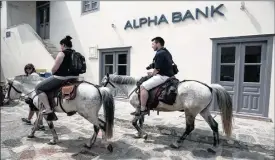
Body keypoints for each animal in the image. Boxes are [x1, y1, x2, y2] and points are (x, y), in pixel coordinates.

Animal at [101, 74, 233, 149]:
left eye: (103, 81)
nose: (99, 87)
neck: (134, 86)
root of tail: (209, 87)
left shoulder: (139, 108)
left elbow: (134, 122)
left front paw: (144, 134)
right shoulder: (141, 110)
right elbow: (140, 122)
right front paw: (140, 134)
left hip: (190, 112)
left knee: (189, 128)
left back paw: (177, 143)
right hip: (203, 111)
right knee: (214, 125)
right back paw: (215, 145)